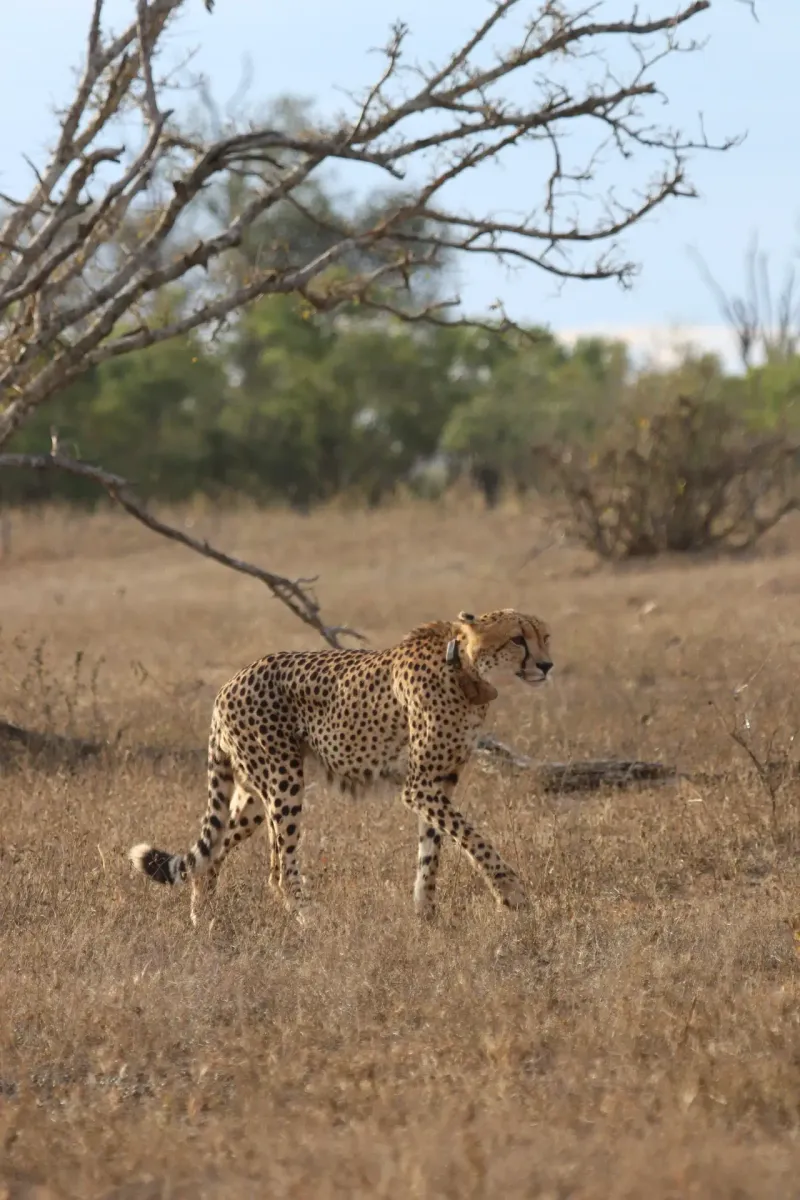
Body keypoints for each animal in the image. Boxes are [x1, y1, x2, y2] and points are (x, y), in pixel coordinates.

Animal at [128, 607, 553, 924]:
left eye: (545, 636)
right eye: (518, 638)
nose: (547, 665)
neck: (463, 668)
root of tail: (229, 683)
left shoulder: (438, 783)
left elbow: (432, 852)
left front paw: (427, 915)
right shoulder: (420, 786)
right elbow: (475, 839)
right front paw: (512, 894)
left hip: (253, 797)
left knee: (213, 854)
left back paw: (205, 920)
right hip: (283, 783)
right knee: (279, 870)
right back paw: (311, 919)